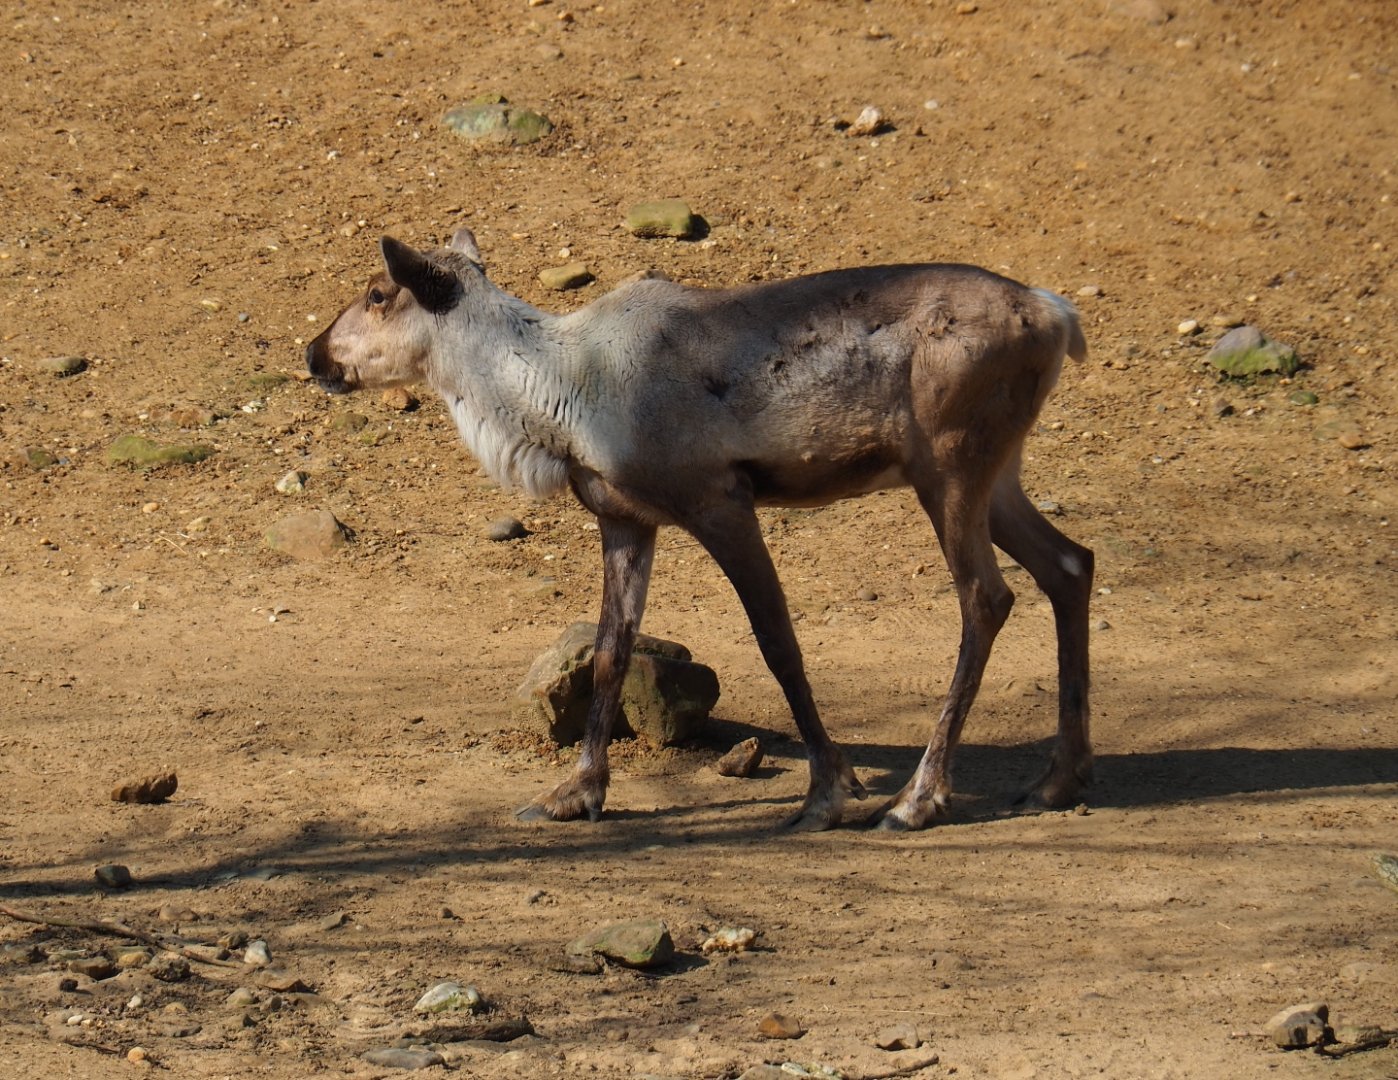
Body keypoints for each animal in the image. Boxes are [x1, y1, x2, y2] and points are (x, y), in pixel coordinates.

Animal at [305, 226, 1094, 831]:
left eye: (377, 293)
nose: (313, 352)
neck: (559, 399)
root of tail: (1058, 316)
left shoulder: (720, 500)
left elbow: (779, 644)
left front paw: (829, 790)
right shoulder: (625, 518)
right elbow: (610, 651)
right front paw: (574, 792)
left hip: (951, 463)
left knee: (987, 597)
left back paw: (917, 798)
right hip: (997, 472)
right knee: (1069, 563)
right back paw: (1056, 781)